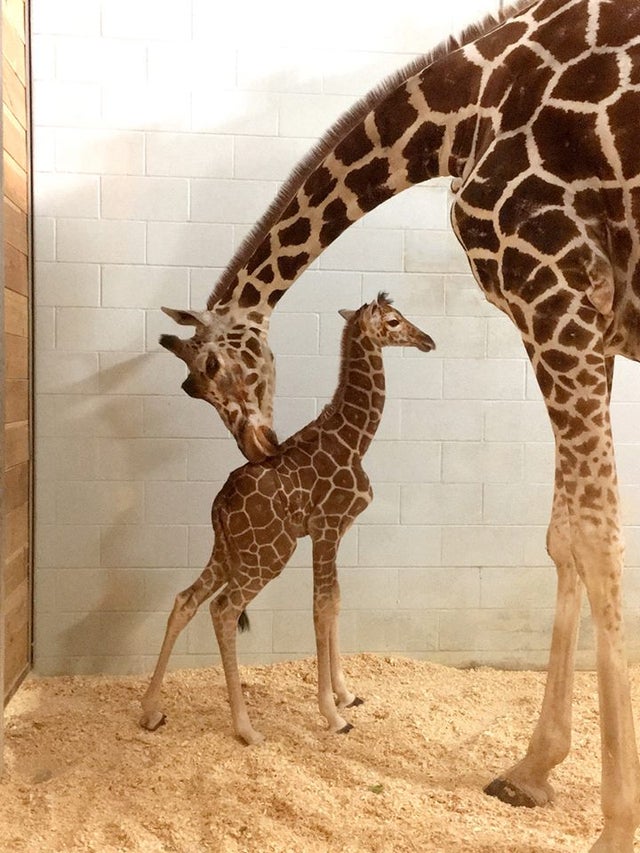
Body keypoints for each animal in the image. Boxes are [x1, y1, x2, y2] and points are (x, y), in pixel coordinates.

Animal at [144, 295, 434, 745]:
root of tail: (220, 504)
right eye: (393, 321)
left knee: (186, 600)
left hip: (229, 551)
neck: (356, 441)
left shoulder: (334, 531)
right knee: (223, 609)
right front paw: (333, 715)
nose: (427, 340)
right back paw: (246, 729)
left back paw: (151, 710)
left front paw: (346, 696)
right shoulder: (327, 526)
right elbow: (320, 607)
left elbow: (335, 602)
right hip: (270, 554)